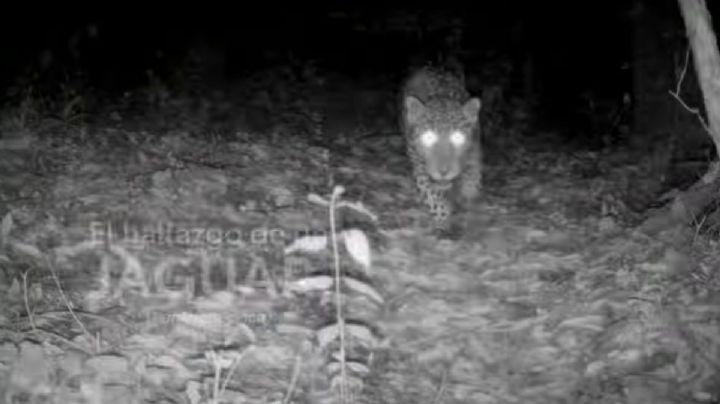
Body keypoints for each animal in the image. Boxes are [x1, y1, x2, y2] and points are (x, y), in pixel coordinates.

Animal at [399, 64, 483, 236]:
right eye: (428, 137)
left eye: (457, 137)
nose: (443, 171)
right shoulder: (419, 164)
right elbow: (432, 194)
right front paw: (443, 220)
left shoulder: (474, 154)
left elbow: (471, 183)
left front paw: (469, 209)